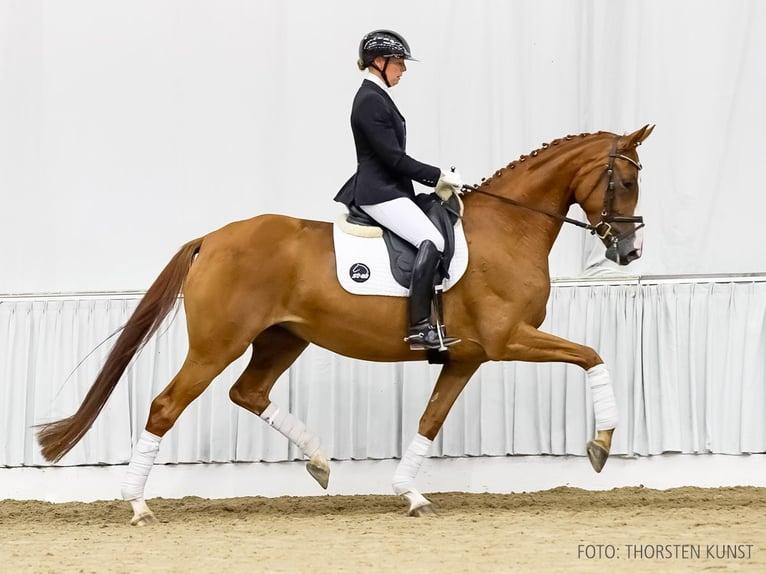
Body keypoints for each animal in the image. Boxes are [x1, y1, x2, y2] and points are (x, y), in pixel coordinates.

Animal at [39, 126, 656, 528]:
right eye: (625, 182)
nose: (628, 251)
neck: (508, 228)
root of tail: (210, 239)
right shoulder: (508, 340)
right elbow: (593, 355)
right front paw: (601, 444)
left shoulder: (467, 356)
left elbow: (430, 420)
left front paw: (410, 495)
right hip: (218, 344)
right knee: (167, 405)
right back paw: (138, 505)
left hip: (283, 338)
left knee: (249, 392)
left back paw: (317, 459)